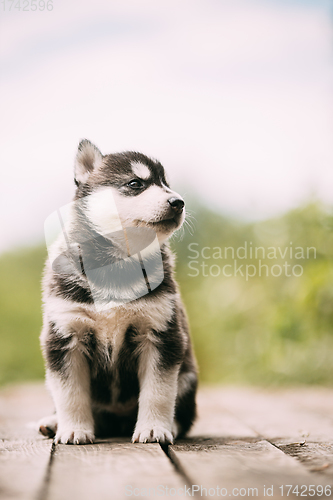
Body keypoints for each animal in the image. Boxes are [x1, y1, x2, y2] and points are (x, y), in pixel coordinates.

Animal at [37, 139, 196, 444]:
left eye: (166, 184)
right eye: (135, 183)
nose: (179, 202)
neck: (119, 262)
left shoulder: (161, 335)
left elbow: (158, 392)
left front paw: (153, 428)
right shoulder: (64, 336)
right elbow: (70, 394)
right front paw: (73, 429)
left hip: (187, 377)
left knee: (184, 413)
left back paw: (171, 426)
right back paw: (52, 422)